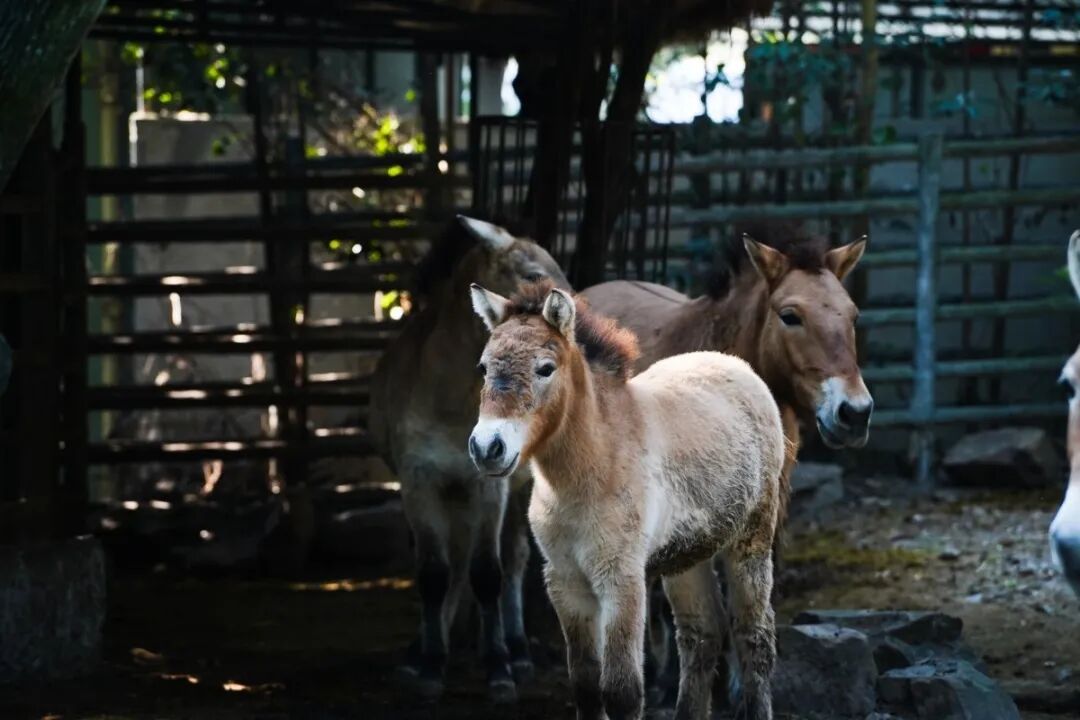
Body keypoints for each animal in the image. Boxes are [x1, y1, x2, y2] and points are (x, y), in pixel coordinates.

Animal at [367, 216, 570, 702]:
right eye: (533, 273)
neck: (447, 398)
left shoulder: (489, 487)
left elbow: (487, 573)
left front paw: (498, 668)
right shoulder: (418, 482)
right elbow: (432, 574)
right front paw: (428, 666)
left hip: (514, 493)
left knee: (512, 561)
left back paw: (516, 650)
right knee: (454, 566)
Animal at [468, 280, 785, 720]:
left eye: (545, 368)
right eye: (483, 368)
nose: (487, 448)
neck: (588, 472)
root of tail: (735, 365)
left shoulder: (622, 579)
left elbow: (622, 691)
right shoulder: (566, 582)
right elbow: (586, 686)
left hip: (751, 538)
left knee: (753, 636)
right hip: (688, 554)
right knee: (702, 633)